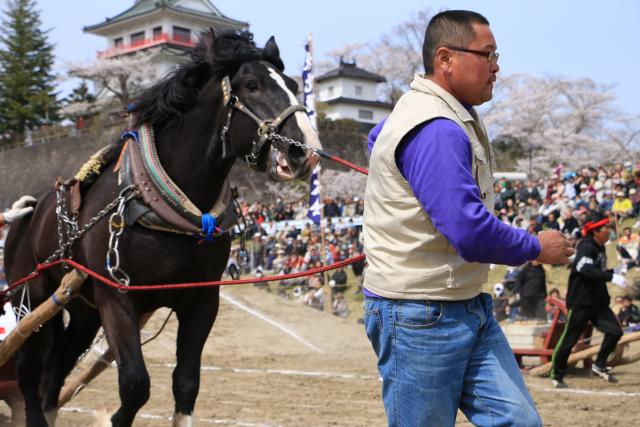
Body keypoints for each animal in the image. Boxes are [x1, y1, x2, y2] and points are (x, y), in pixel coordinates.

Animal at [2, 30, 318, 427]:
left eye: (293, 85)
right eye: (252, 85)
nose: (304, 151)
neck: (161, 204)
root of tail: (27, 211)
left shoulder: (201, 300)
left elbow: (186, 384)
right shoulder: (117, 295)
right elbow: (135, 385)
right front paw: (109, 417)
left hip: (83, 307)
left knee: (56, 367)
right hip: (30, 295)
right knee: (29, 371)